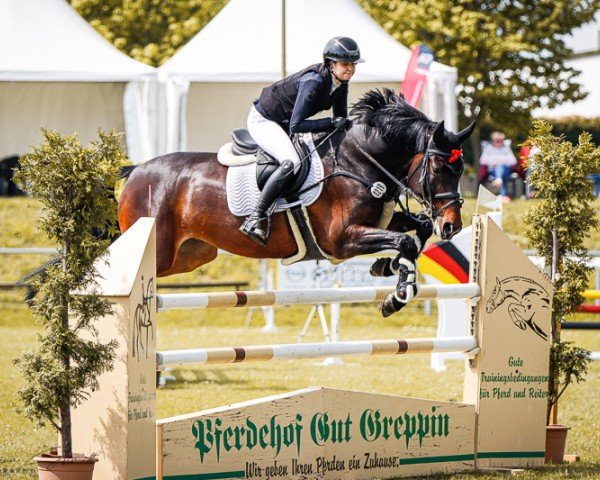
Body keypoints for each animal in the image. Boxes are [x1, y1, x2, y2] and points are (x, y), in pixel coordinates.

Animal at [117, 88, 474, 316]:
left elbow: (418, 231)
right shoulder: (341, 240)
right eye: (439, 167)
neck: (359, 160)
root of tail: (137, 171)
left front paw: (386, 267)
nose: (452, 226)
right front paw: (396, 298)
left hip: (190, 255)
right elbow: (406, 242)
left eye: (460, 169)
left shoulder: (381, 221)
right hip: (159, 250)